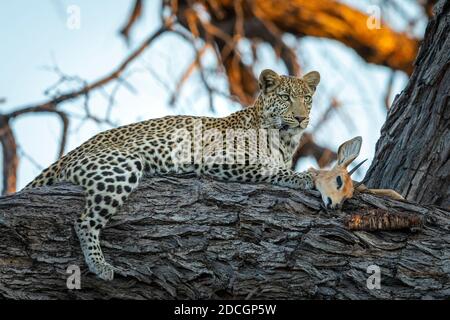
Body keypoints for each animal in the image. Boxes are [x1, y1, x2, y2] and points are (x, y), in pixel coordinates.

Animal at [23, 68, 320, 280]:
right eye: (285, 97)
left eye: (307, 99)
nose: (301, 118)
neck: (285, 140)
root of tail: (71, 152)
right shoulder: (219, 156)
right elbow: (270, 166)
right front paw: (305, 177)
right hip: (122, 166)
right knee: (84, 221)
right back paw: (99, 264)